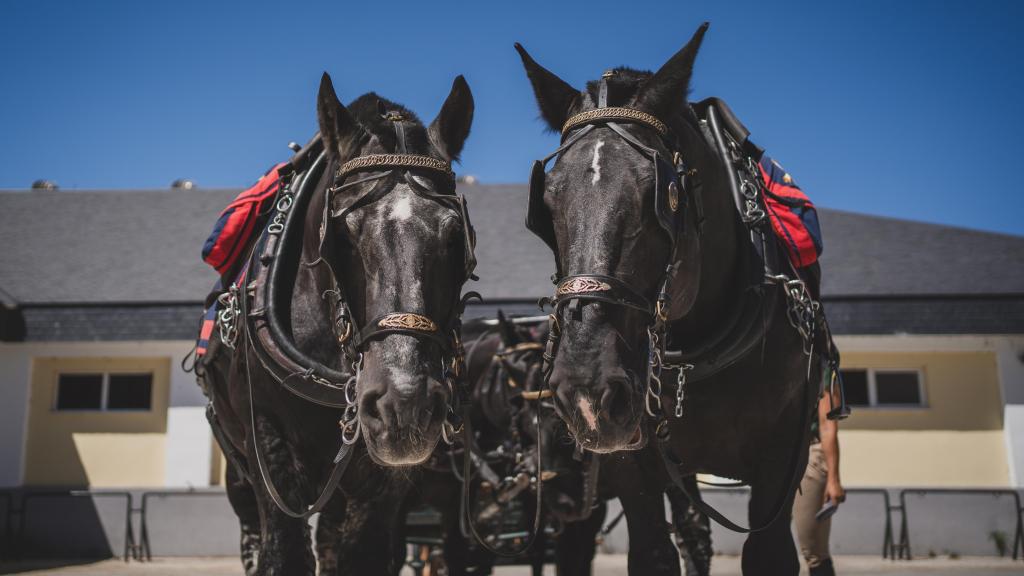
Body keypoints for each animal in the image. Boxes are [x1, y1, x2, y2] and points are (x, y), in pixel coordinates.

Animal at [197, 71, 477, 573]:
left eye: (454, 235)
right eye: (342, 235)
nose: (404, 403)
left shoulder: (384, 483)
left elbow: (362, 556)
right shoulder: (268, 446)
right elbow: (283, 554)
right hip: (240, 470)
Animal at [516, 21, 827, 569]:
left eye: (661, 195)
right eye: (546, 204)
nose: (586, 390)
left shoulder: (783, 458)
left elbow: (768, 552)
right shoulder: (630, 461)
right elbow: (654, 552)